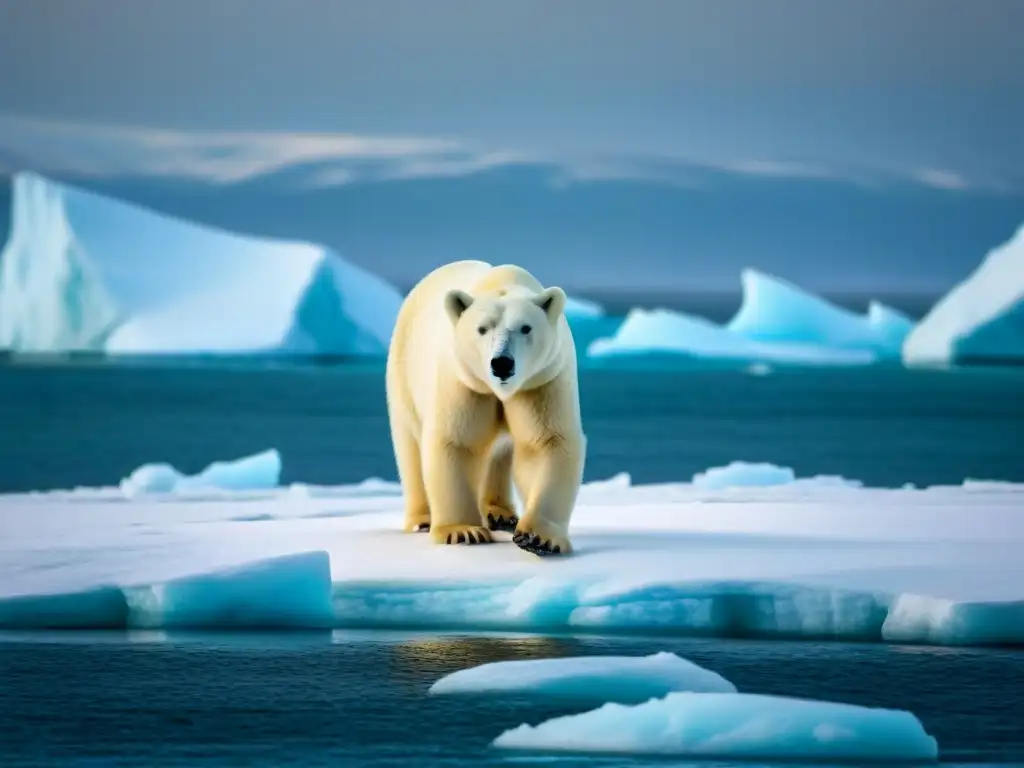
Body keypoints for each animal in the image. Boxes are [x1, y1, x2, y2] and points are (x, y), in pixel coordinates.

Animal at [385, 262, 593, 557]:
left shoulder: (541, 381)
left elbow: (546, 443)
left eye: (525, 328)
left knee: (499, 454)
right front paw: (462, 531)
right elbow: (457, 442)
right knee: (410, 447)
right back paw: (422, 521)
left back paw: (501, 514)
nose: (502, 363)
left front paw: (538, 538)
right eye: (482, 329)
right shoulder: (465, 382)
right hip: (404, 375)